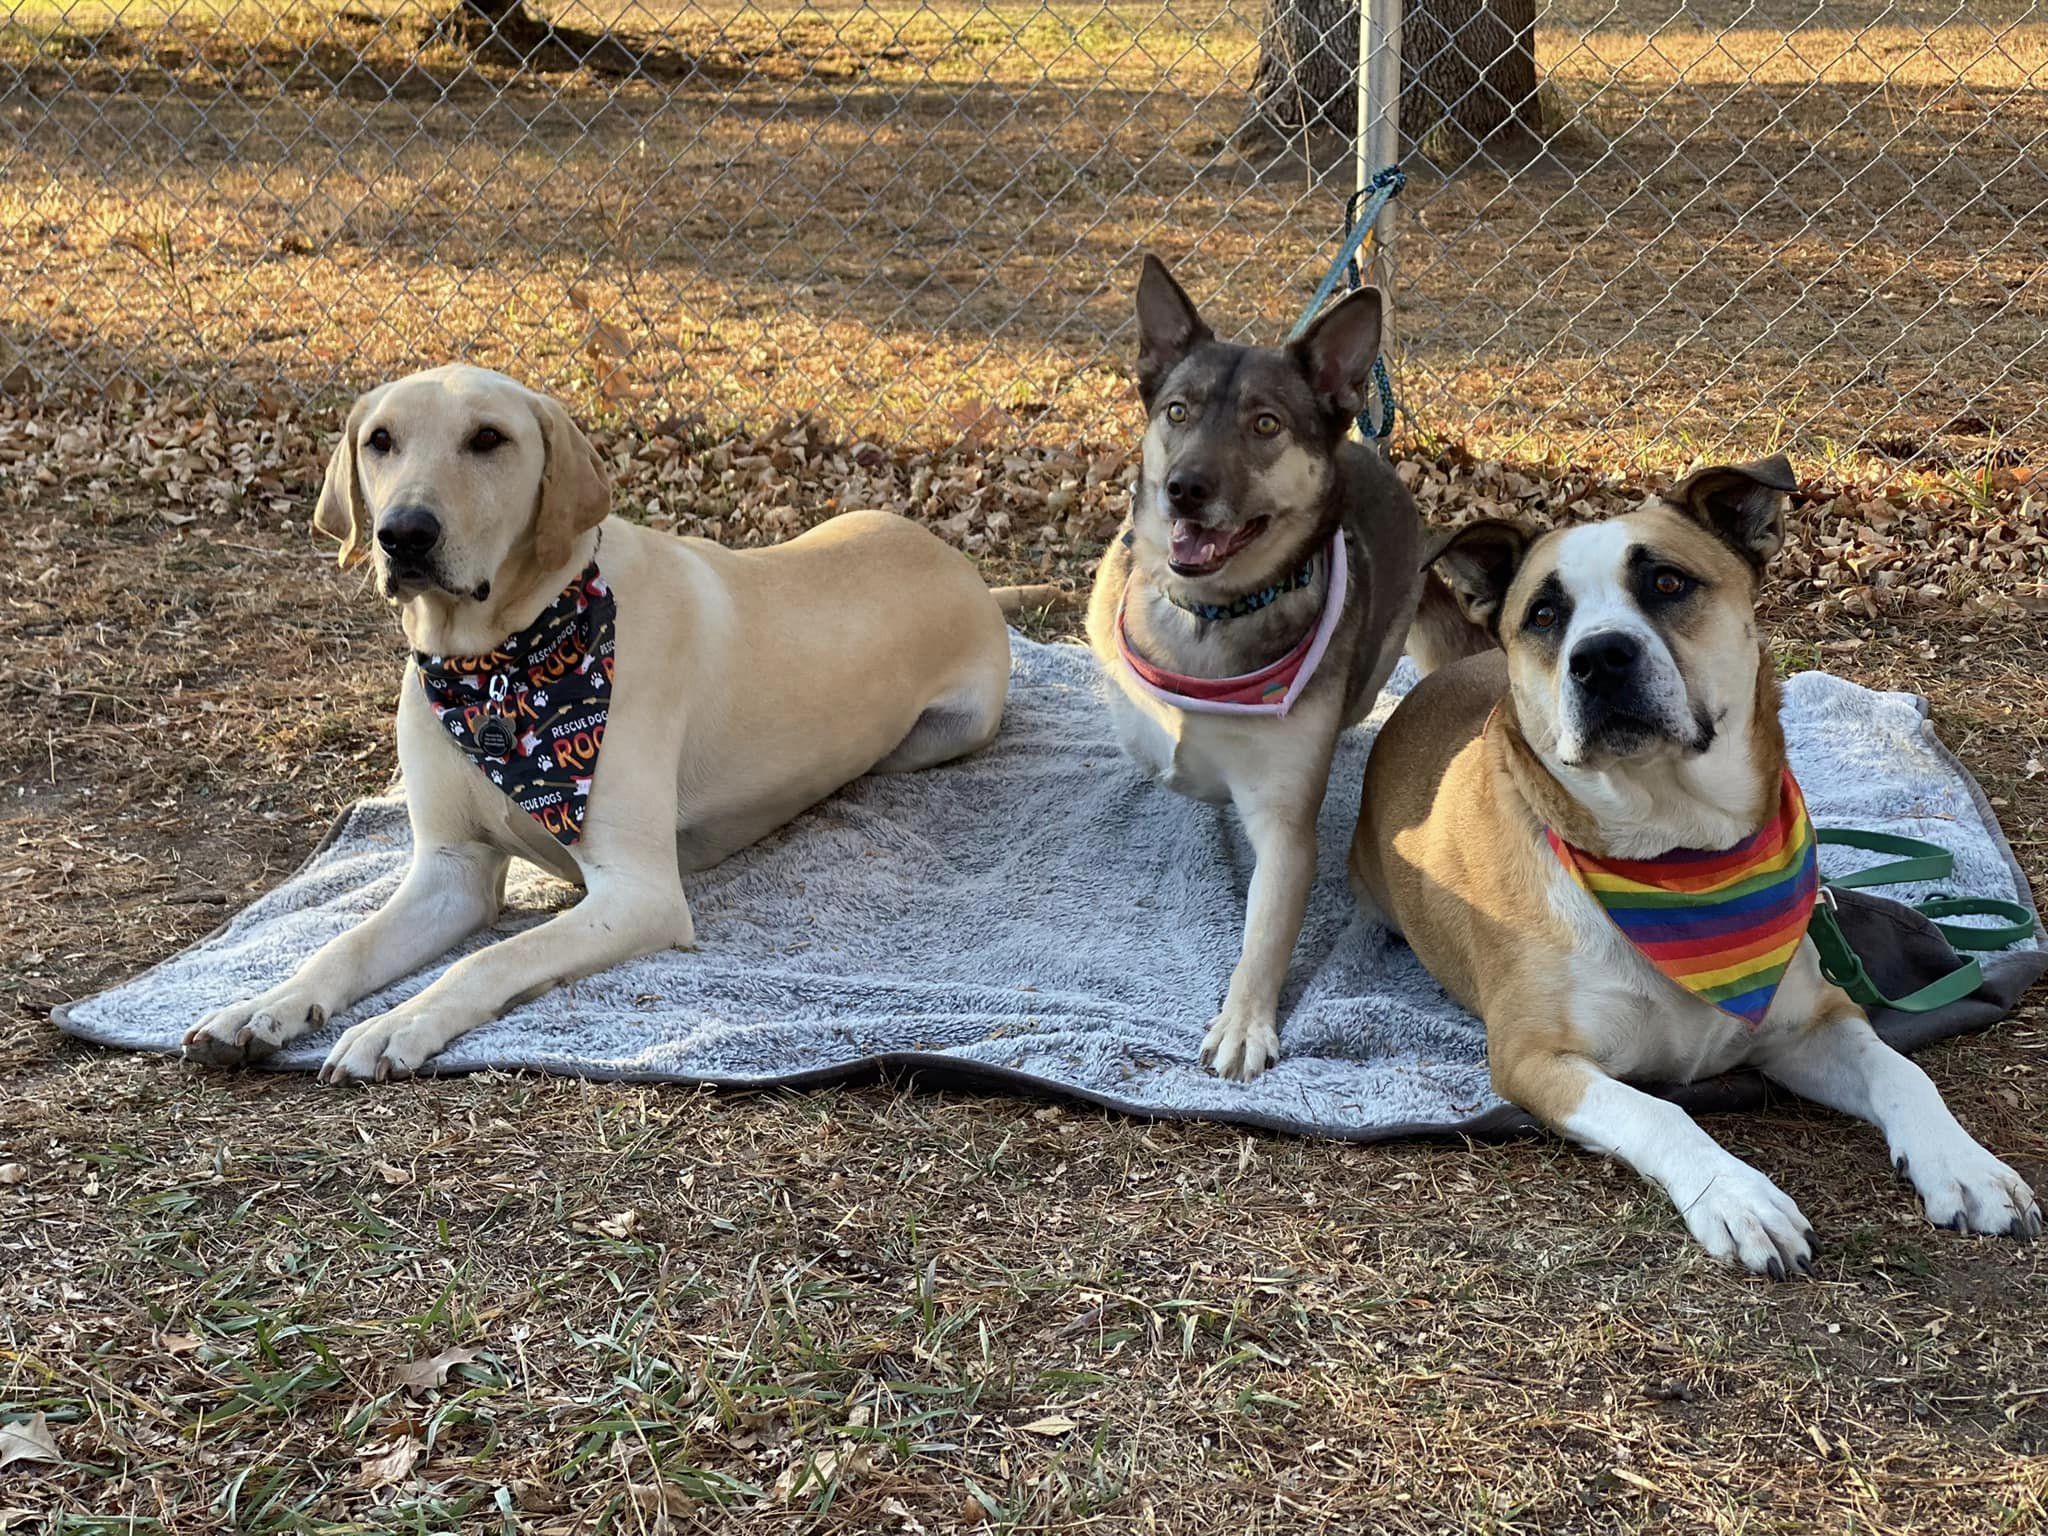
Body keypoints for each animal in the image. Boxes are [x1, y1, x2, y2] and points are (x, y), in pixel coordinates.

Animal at [180, 364, 1011, 1081]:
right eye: (380, 439)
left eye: (489, 438)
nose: (404, 534)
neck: (497, 666)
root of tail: (961, 563)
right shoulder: (450, 871)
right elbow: (342, 948)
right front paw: (264, 1007)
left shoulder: (639, 895)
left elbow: (490, 958)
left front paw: (398, 1023)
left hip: (944, 732)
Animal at [1089, 256, 1425, 1081]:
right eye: (1178, 412)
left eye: (1266, 424)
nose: (1184, 488)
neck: (1213, 614)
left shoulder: (1283, 822)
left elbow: (1265, 931)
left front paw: (1244, 1020)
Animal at [1351, 454, 2039, 1277]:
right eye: (1545, 615)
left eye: (1668, 582)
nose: (1600, 657)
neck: (1677, 856)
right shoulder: (1536, 1059)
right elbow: (1662, 1111)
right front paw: (1738, 1196)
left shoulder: (1812, 1024)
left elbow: (1902, 1070)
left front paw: (1963, 1164)